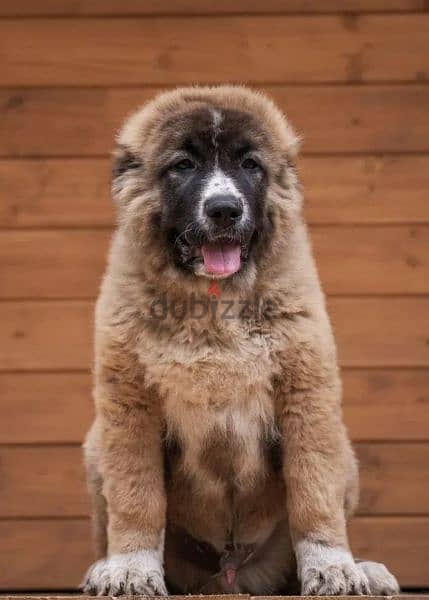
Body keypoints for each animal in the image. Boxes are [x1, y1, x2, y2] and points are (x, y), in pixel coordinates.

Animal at [82, 85, 400, 596]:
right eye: (183, 165)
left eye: (251, 164)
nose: (225, 209)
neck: (213, 304)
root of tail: (232, 574)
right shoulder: (129, 405)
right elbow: (136, 497)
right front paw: (130, 568)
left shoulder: (305, 397)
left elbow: (314, 492)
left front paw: (333, 567)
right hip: (95, 447)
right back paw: (102, 567)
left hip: (344, 454)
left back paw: (364, 568)